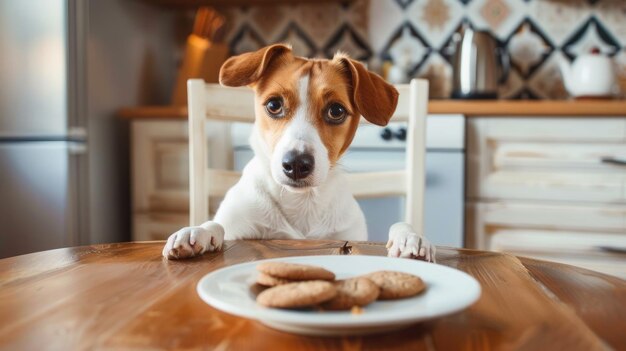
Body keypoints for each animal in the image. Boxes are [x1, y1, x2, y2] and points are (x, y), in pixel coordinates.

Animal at [161, 44, 434, 262]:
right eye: (274, 105)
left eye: (336, 110)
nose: (296, 164)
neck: (301, 203)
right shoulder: (238, 222)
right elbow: (216, 224)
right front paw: (197, 232)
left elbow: (400, 224)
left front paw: (410, 238)